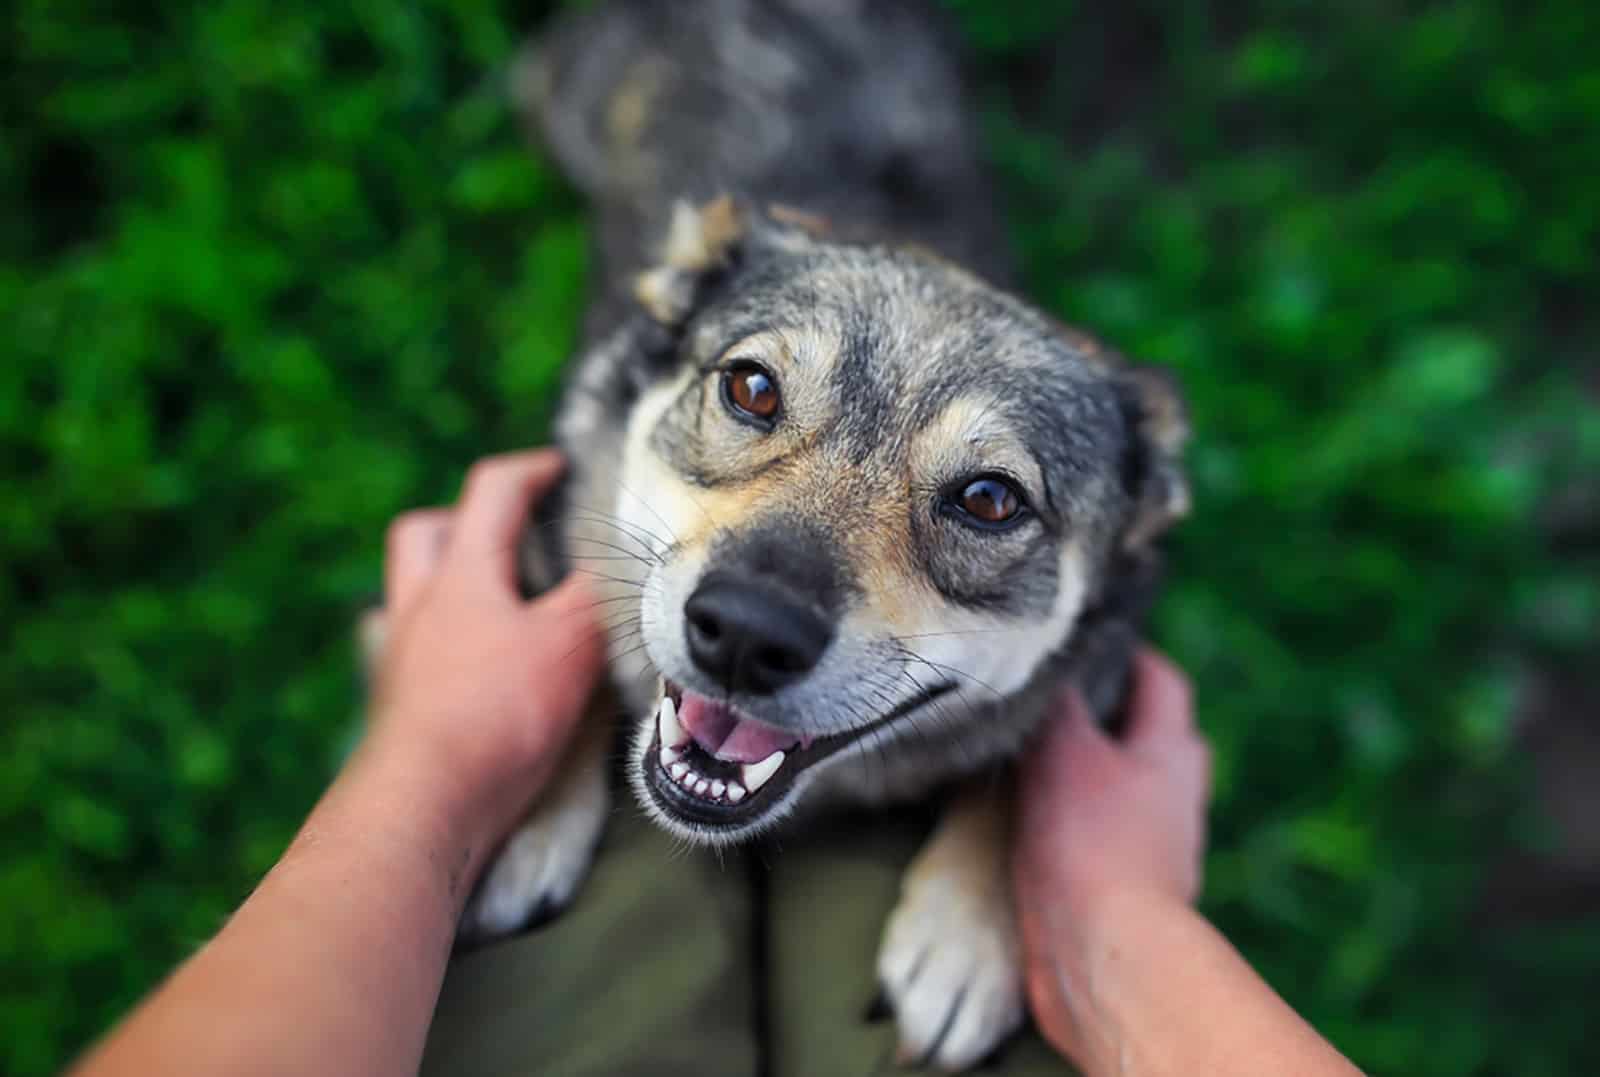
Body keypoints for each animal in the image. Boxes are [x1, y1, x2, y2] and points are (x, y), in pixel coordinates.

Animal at [425, 0, 1190, 1068]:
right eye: (750, 386)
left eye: (991, 499)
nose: (746, 633)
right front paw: (529, 818)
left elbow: (1027, 769)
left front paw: (968, 934)